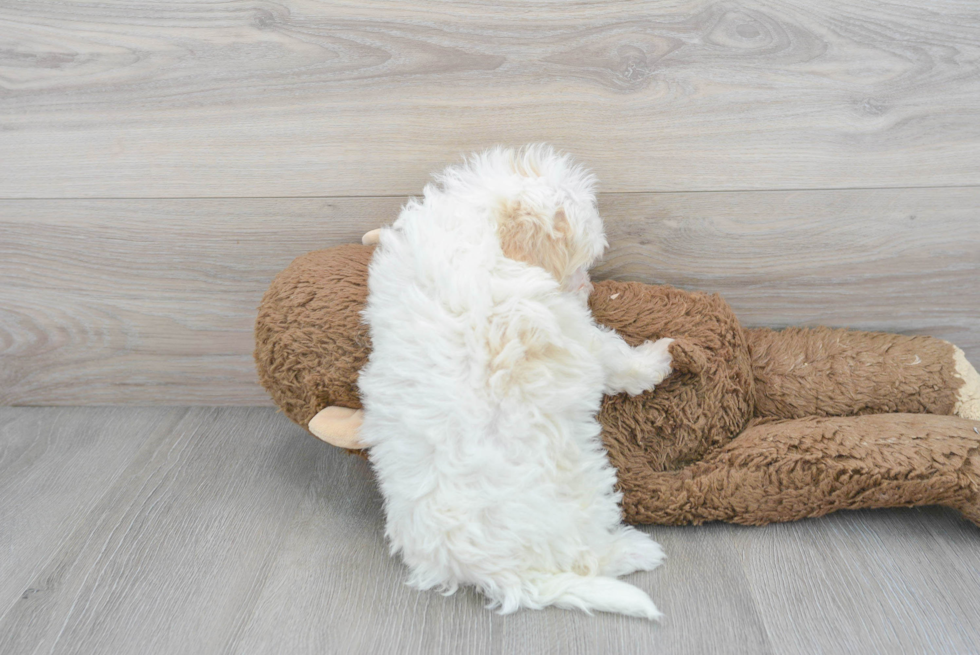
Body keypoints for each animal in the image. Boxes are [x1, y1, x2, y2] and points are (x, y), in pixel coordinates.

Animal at [358, 145, 672, 620]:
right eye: (581, 261)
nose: (587, 287)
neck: (472, 232)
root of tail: (488, 571)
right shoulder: (570, 330)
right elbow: (611, 353)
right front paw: (654, 361)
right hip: (581, 498)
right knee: (588, 557)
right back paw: (634, 551)